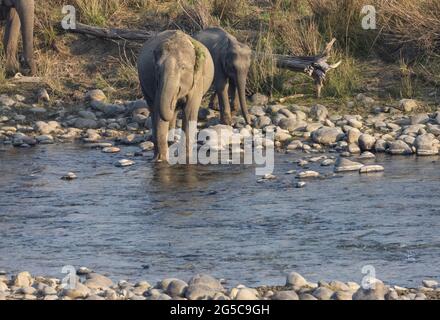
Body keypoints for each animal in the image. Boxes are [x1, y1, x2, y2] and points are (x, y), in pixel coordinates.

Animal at [137, 30, 214, 162]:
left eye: (183, 67)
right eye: (157, 68)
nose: (175, 100)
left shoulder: (198, 81)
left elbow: (189, 112)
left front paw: (186, 158)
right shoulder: (156, 83)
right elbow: (159, 112)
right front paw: (161, 160)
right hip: (143, 86)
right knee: (153, 109)